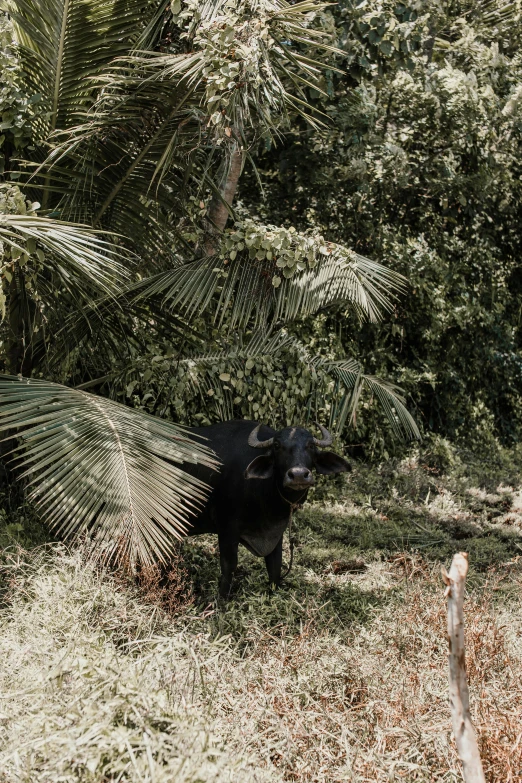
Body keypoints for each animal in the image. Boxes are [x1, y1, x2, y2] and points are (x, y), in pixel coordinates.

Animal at [183, 420, 350, 596]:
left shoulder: (275, 531)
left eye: (310, 445)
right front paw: (222, 597)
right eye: (277, 445)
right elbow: (229, 566)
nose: (298, 475)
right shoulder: (227, 528)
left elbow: (275, 565)